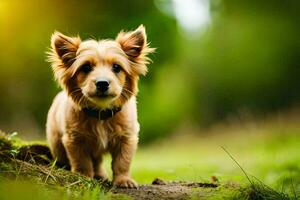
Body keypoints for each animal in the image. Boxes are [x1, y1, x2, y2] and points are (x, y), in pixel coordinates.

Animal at [47, 25, 155, 188]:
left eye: (116, 67)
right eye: (86, 67)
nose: (102, 83)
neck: (101, 113)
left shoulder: (126, 138)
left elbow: (122, 161)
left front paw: (123, 180)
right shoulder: (74, 140)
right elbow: (82, 162)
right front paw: (83, 177)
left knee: (97, 162)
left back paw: (101, 175)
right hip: (56, 143)